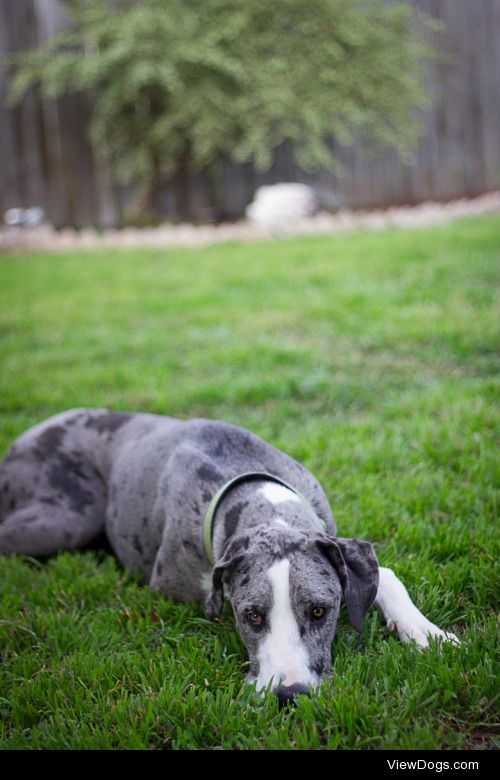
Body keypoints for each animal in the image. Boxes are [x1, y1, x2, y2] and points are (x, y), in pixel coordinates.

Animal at [0, 408, 458, 708]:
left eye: (319, 611)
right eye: (251, 616)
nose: (290, 695)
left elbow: (388, 576)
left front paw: (428, 634)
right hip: (65, 517)